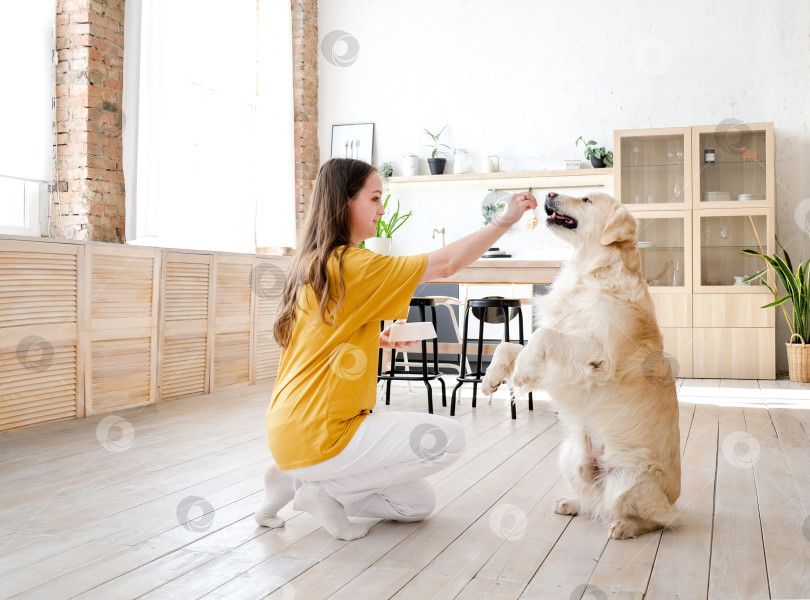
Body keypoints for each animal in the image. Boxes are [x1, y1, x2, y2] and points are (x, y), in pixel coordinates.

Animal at [482, 191, 680, 540]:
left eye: (586, 199)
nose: (549, 193)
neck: (588, 273)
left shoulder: (600, 356)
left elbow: (543, 335)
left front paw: (522, 370)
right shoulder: (565, 368)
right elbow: (509, 345)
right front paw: (493, 378)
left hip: (631, 478)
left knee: (657, 519)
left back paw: (624, 526)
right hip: (569, 457)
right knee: (593, 501)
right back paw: (571, 502)